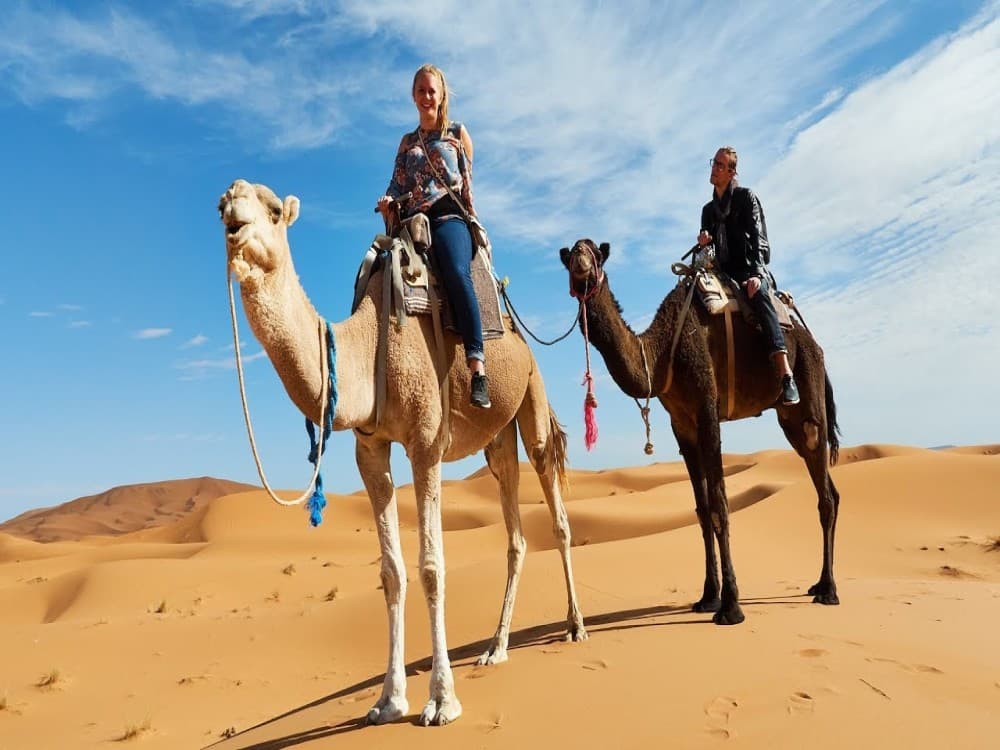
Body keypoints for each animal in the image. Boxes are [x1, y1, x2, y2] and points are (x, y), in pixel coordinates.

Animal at [218, 179, 587, 726]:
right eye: (222, 204)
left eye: (272, 210)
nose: (233, 219)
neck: (368, 346)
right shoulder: (370, 451)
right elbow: (391, 572)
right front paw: (388, 700)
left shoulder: (424, 442)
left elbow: (431, 566)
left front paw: (441, 700)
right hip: (497, 442)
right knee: (516, 533)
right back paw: (496, 648)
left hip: (531, 394)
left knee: (555, 509)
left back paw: (576, 626)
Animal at [560, 239, 841, 626]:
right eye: (570, 253)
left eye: (596, 253)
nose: (580, 262)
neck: (662, 353)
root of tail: (814, 343)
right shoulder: (682, 425)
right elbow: (702, 509)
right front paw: (708, 596)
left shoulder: (708, 408)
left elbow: (721, 506)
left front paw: (731, 606)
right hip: (789, 419)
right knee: (829, 486)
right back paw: (819, 583)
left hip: (808, 387)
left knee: (823, 483)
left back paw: (828, 590)